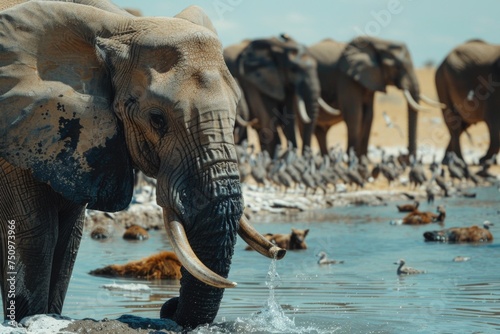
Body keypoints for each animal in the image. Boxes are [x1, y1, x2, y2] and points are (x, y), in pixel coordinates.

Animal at [306, 35, 444, 158]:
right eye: (397, 67)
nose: (404, 156)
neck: (377, 42)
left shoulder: (371, 79)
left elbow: (368, 115)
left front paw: (362, 160)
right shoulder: (346, 77)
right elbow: (355, 114)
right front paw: (351, 158)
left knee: (320, 132)